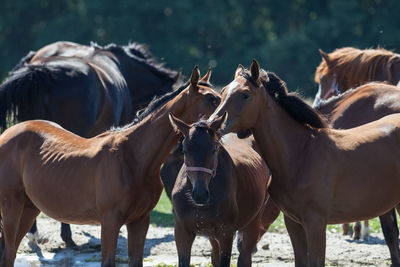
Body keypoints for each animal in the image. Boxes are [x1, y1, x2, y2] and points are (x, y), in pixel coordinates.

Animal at [0, 67, 220, 267]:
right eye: (211, 99)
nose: (222, 121)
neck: (134, 157)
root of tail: (7, 134)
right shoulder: (110, 222)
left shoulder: (140, 221)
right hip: (11, 208)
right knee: (9, 253)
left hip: (29, 209)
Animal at [169, 113, 276, 267]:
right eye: (185, 150)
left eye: (213, 150)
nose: (200, 195)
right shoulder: (182, 232)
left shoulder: (226, 233)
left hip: (254, 220)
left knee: (245, 257)